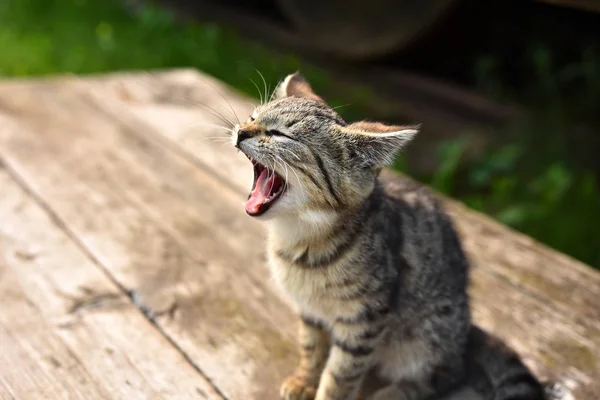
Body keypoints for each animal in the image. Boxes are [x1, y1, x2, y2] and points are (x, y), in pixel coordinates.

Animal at [230, 72, 568, 400]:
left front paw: (325, 388)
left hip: (428, 336)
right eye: (252, 116)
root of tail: (467, 331)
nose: (241, 131)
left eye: (280, 134)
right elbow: (311, 349)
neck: (299, 237)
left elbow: (340, 377)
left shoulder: (363, 322)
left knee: (445, 377)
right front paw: (304, 380)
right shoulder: (311, 314)